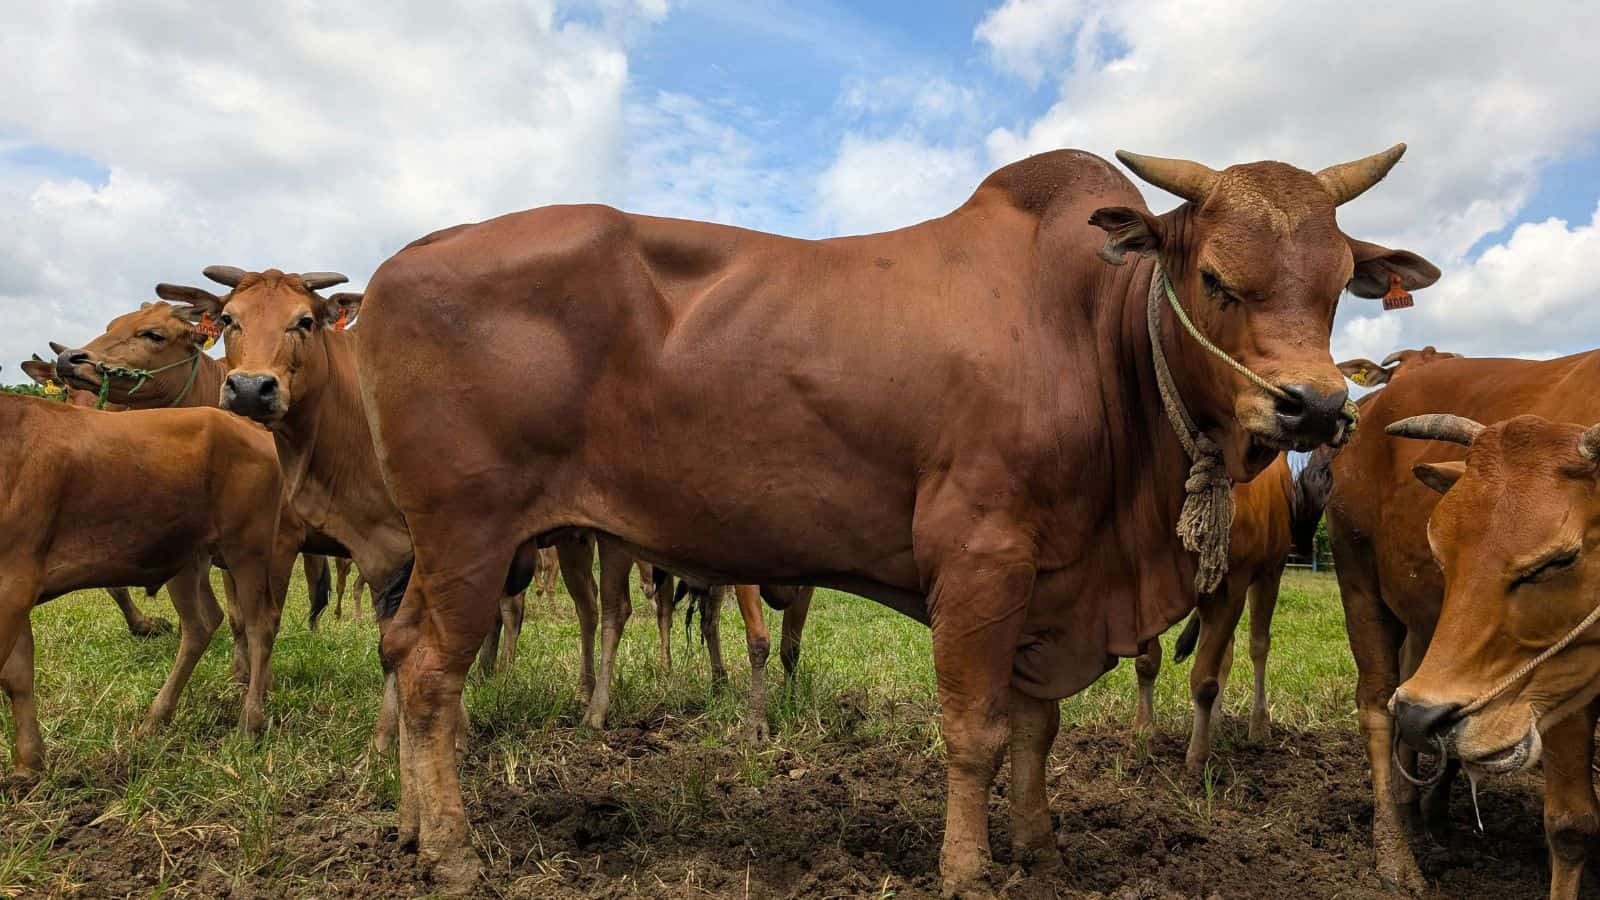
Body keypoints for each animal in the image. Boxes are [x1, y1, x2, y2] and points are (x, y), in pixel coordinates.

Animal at [0, 385, 294, 773]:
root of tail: (243, 426)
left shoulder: (14, 582)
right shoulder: (18, 586)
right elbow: (18, 675)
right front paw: (29, 762)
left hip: (247, 548)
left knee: (261, 624)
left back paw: (250, 723)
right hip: (187, 557)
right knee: (201, 623)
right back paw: (157, 717)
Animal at [1132, 452, 1326, 773]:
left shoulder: (1233, 586)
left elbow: (1205, 679)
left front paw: (1198, 757)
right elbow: (1147, 662)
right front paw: (1144, 731)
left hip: (1270, 573)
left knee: (1258, 645)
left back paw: (1258, 726)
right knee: (1226, 651)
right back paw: (1214, 722)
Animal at [1325, 352, 1600, 897]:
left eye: (1559, 559)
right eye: (1442, 554)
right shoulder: (1562, 687)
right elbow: (1572, 822)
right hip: (1359, 578)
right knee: (1380, 709)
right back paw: (1396, 854)